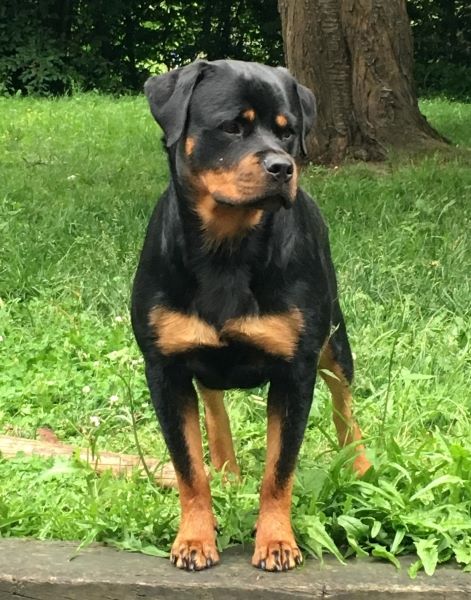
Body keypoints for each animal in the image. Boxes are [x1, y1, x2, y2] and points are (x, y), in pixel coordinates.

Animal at [131, 59, 371, 572]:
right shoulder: (164, 370)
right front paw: (195, 537)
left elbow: (279, 470)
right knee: (213, 402)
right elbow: (188, 468)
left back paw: (359, 464)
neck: (227, 249)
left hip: (334, 339)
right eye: (231, 127)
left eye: (288, 131)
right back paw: (226, 468)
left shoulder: (295, 373)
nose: (283, 167)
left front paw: (277, 540)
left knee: (344, 401)